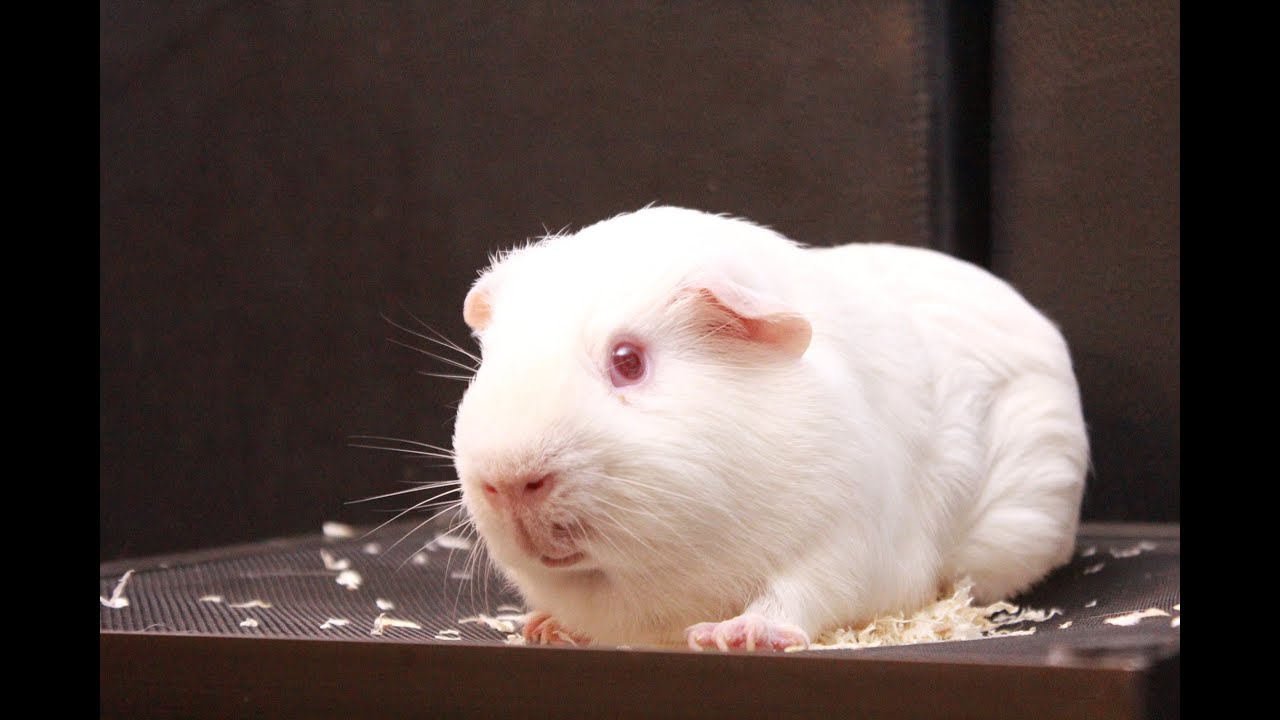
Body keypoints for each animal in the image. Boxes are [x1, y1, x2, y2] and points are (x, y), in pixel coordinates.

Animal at [450, 206, 1087, 651]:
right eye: (489, 362)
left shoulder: (846, 542)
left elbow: (797, 595)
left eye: (628, 361)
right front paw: (543, 627)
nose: (508, 482)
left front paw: (734, 635)